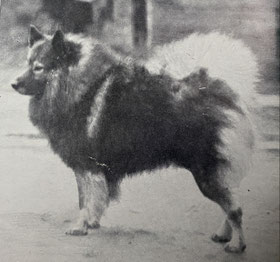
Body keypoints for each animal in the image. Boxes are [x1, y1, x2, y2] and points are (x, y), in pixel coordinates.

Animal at [12, 25, 260, 253]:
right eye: (27, 62)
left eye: (38, 68)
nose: (14, 83)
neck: (79, 86)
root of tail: (223, 92)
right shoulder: (93, 171)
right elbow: (96, 200)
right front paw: (92, 222)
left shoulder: (86, 167)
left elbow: (85, 201)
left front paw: (80, 226)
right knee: (231, 204)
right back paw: (223, 235)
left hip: (206, 174)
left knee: (234, 209)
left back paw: (237, 244)